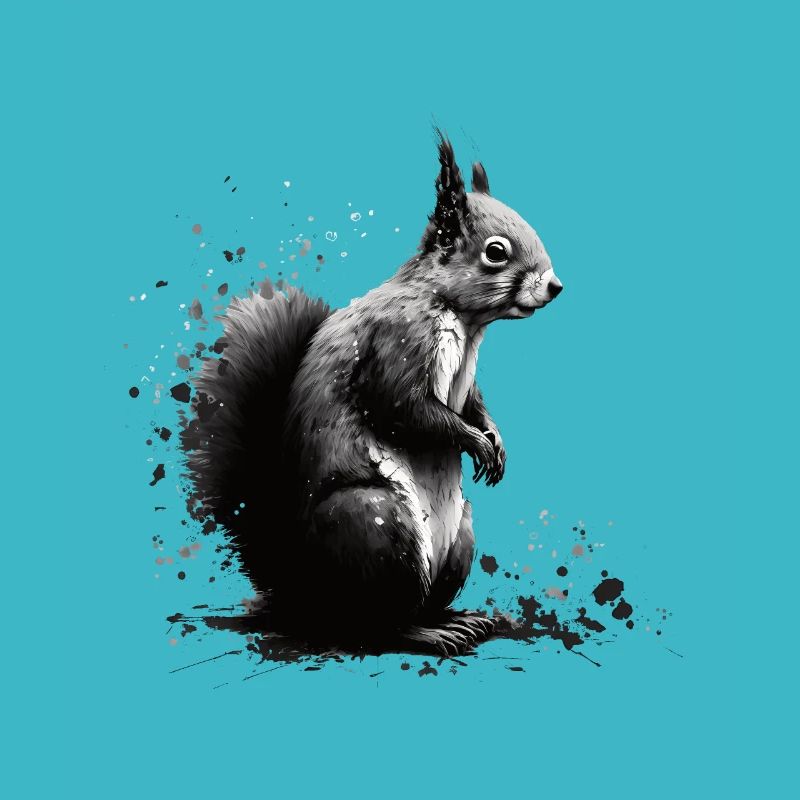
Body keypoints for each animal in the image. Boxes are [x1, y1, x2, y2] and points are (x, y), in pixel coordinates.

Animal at [181, 133, 563, 656]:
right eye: (496, 252)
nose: (555, 286)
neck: (462, 319)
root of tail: (306, 594)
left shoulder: (464, 379)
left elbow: (473, 405)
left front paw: (496, 440)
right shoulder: (397, 341)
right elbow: (407, 408)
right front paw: (476, 442)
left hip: (458, 532)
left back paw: (459, 617)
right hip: (378, 525)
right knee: (377, 627)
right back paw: (427, 632)